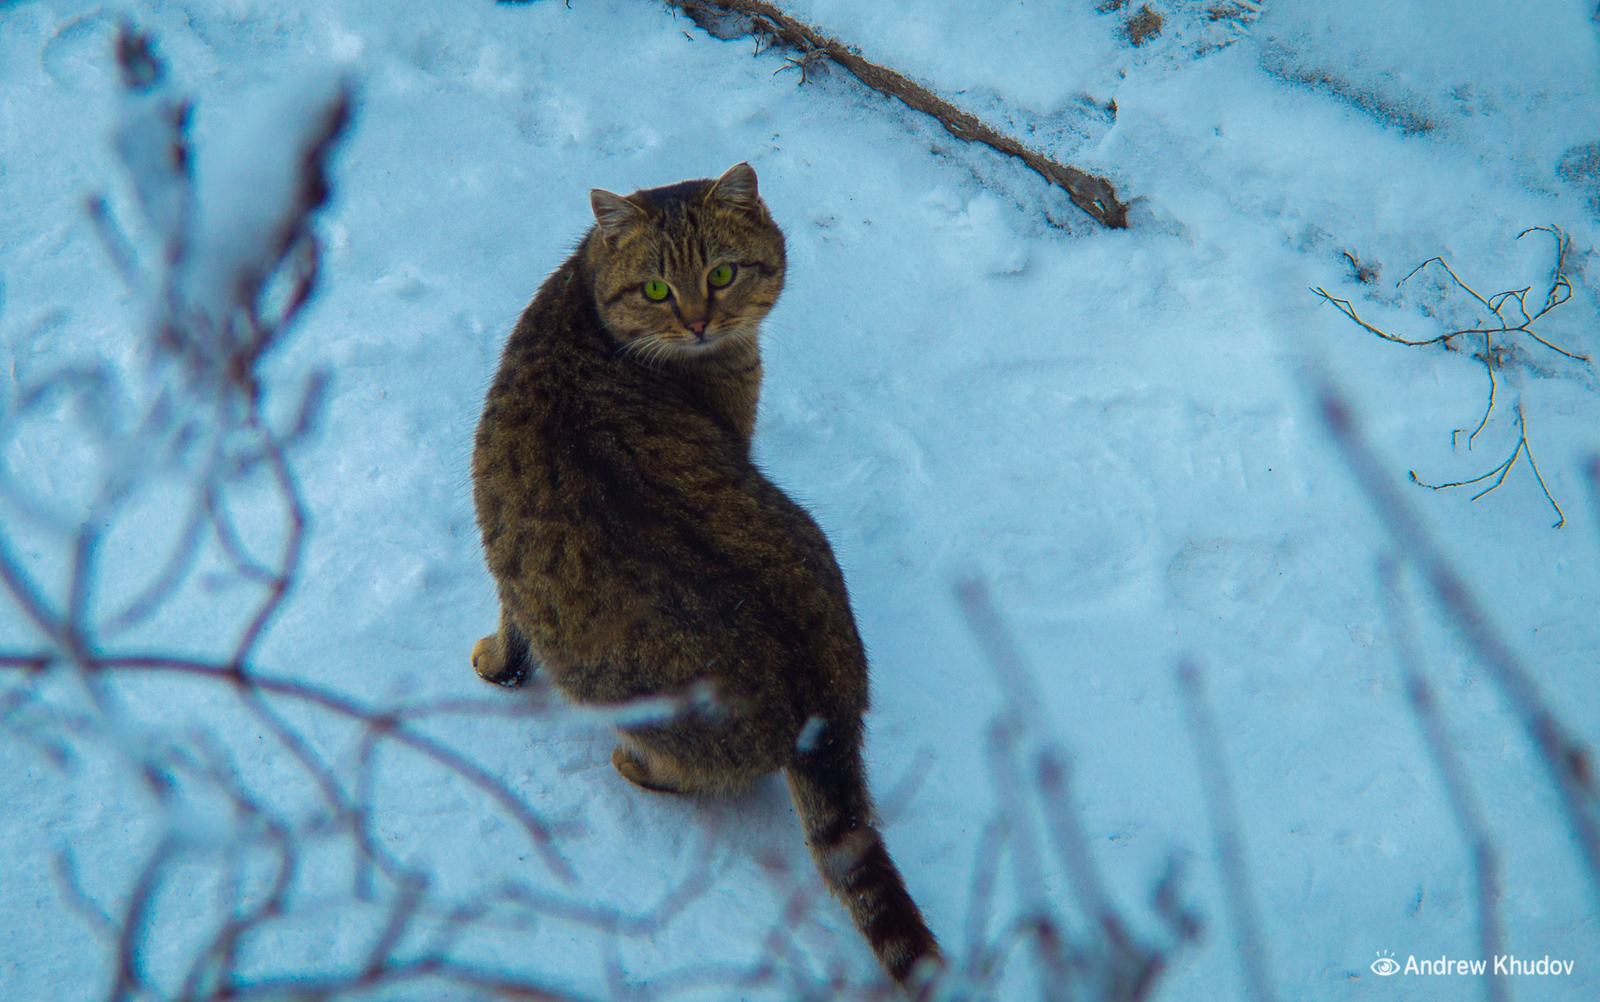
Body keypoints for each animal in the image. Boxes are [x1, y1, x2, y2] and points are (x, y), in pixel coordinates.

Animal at [467, 164, 940, 985]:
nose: (697, 322)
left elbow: (511, 627)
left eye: (722, 274)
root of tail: (824, 698)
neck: (585, 310)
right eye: (657, 289)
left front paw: (495, 665)